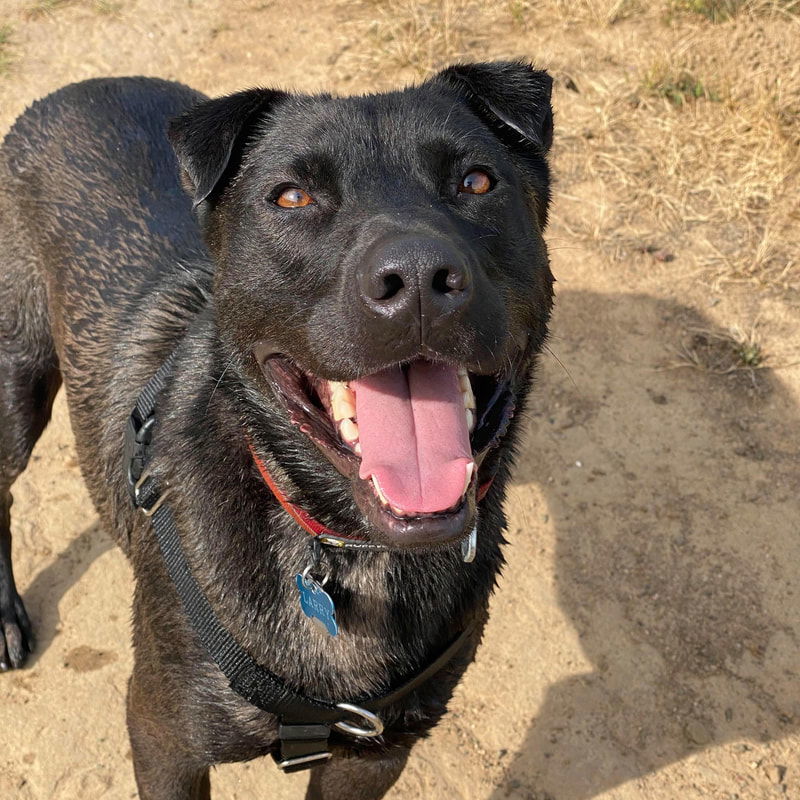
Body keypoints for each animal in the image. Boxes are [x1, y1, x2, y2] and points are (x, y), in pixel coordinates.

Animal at [0, 64, 552, 800]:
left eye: (477, 181)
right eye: (292, 197)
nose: (415, 278)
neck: (347, 551)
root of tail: (81, 86)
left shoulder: (374, 756)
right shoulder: (162, 737)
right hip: (17, 383)